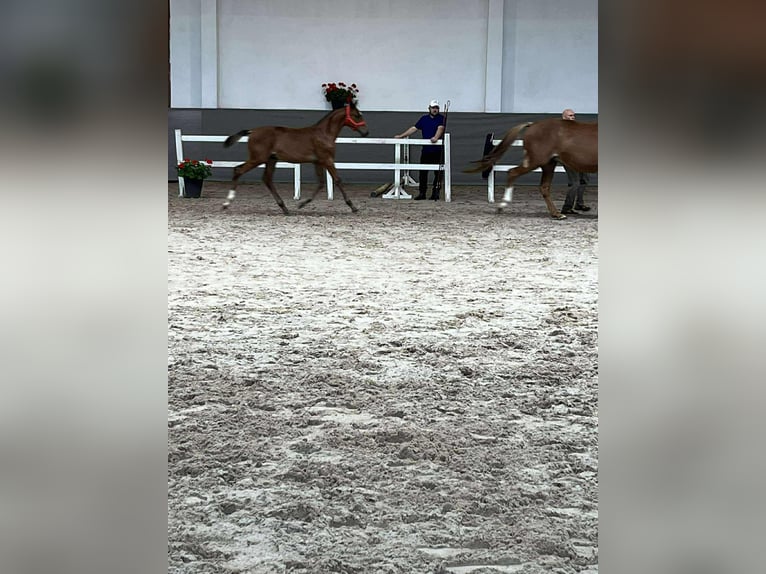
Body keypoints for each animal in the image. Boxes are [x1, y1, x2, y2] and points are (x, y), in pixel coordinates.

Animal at [221, 102, 369, 214]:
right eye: (357, 115)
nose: (366, 132)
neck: (324, 133)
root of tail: (252, 131)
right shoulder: (327, 160)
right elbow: (337, 180)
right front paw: (353, 206)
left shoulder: (318, 162)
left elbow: (321, 183)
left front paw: (302, 204)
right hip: (258, 159)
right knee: (238, 170)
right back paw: (226, 203)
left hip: (271, 160)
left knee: (267, 179)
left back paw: (284, 208)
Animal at [465, 118, 598, 219]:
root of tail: (533, 125)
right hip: (535, 161)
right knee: (512, 172)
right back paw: (502, 205)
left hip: (548, 164)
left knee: (544, 187)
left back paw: (557, 214)